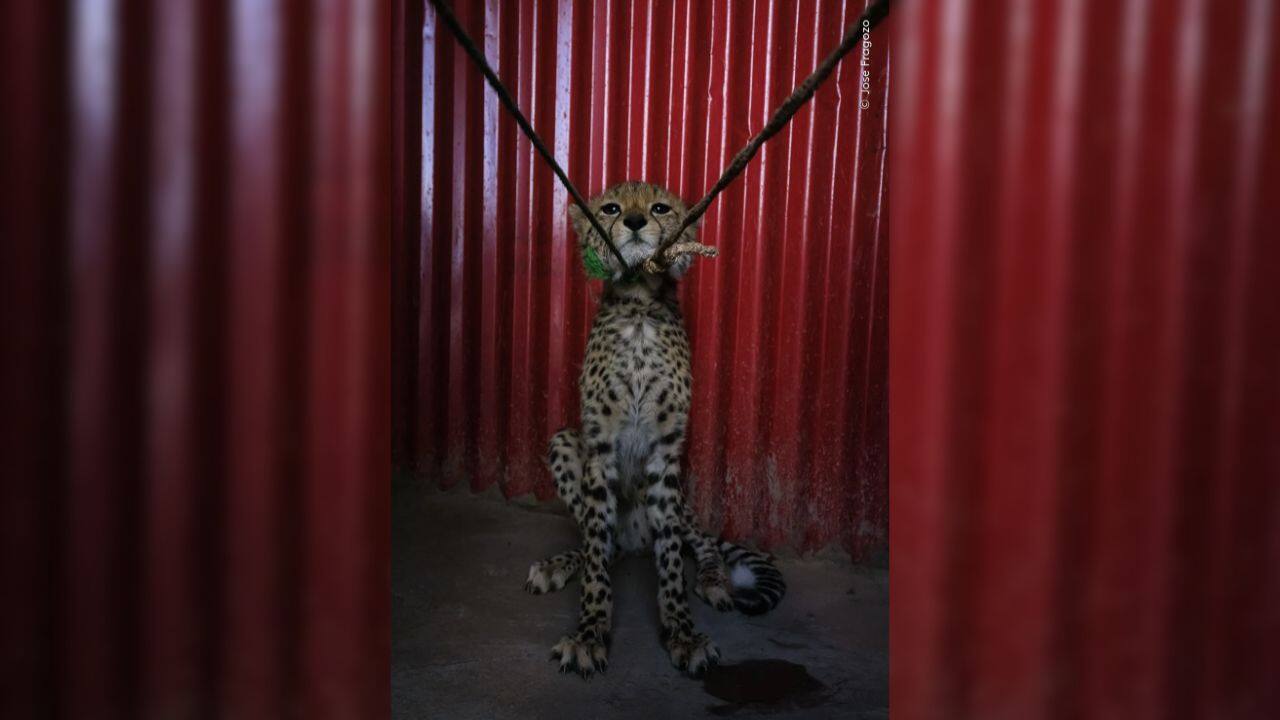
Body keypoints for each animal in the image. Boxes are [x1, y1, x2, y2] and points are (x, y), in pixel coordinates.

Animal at [523, 181, 786, 679]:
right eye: (611, 208)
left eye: (660, 208)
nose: (635, 221)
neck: (639, 308)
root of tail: (632, 540)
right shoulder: (600, 446)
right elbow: (596, 553)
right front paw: (590, 632)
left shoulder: (666, 453)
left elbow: (671, 561)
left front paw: (682, 632)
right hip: (565, 440)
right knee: (603, 543)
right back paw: (564, 563)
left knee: (698, 541)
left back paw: (713, 577)